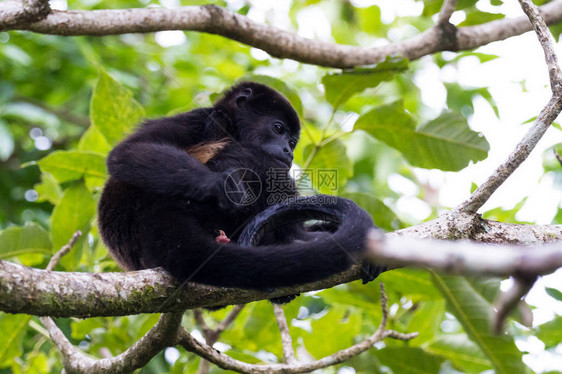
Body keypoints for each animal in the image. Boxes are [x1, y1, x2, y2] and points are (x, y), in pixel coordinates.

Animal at [97, 82, 380, 292]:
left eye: (292, 141)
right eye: (278, 129)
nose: (288, 151)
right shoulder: (203, 118)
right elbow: (126, 153)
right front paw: (221, 185)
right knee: (256, 159)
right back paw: (300, 238)